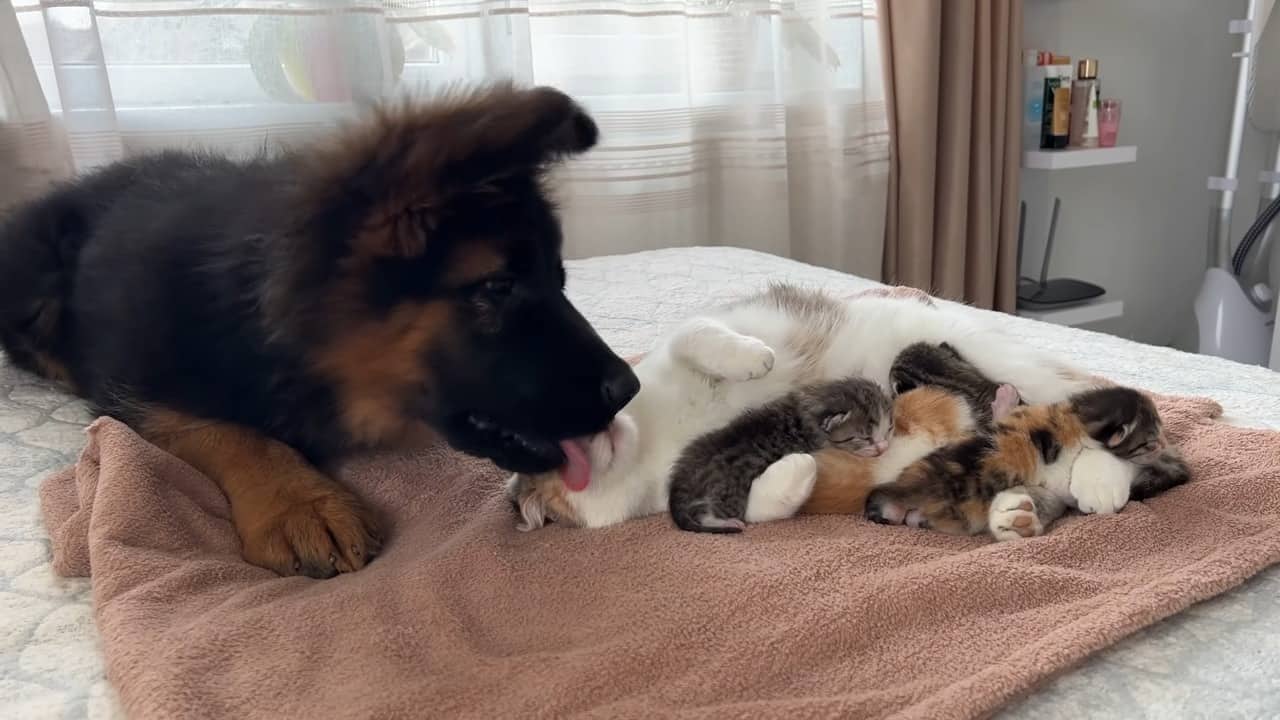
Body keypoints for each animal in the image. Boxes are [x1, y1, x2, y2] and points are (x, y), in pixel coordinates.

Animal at [0, 83, 640, 576]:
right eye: (496, 288)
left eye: (560, 280)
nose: (627, 389)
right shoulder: (137, 387)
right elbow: (231, 432)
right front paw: (298, 504)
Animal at [665, 376, 896, 532]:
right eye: (866, 438)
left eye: (889, 429)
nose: (883, 447)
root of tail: (684, 473)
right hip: (729, 494)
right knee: (709, 511)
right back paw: (728, 522)